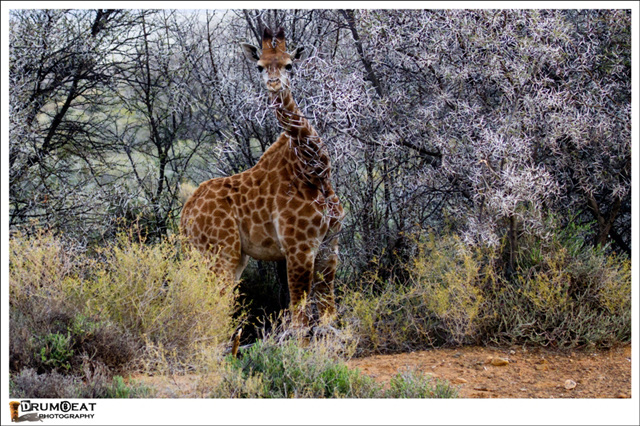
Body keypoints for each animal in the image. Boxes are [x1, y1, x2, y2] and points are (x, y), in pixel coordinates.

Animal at [180, 26, 344, 324]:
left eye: (289, 64)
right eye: (259, 66)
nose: (274, 83)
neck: (315, 171)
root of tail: (185, 216)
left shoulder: (330, 244)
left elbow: (329, 314)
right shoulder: (298, 247)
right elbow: (300, 316)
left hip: (220, 256)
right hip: (221, 253)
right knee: (213, 309)